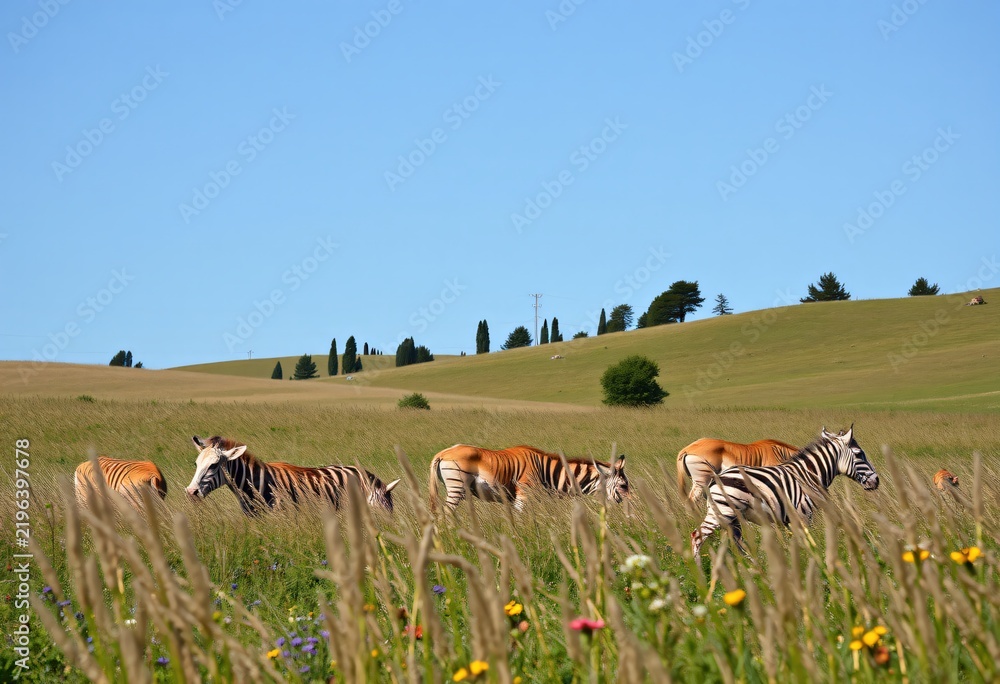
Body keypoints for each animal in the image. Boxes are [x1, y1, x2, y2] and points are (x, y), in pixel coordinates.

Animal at [428, 443, 630, 512]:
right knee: (446, 513)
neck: (546, 472)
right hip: (457, 487)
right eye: (623, 486)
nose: (630, 507)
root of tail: (443, 453)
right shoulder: (523, 496)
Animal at [690, 426, 879, 556]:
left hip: (732, 517)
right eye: (859, 454)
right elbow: (808, 542)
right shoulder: (803, 513)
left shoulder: (791, 519)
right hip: (722, 512)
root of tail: (716, 478)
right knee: (697, 537)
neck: (808, 475)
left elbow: (795, 542)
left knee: (737, 543)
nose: (877, 481)